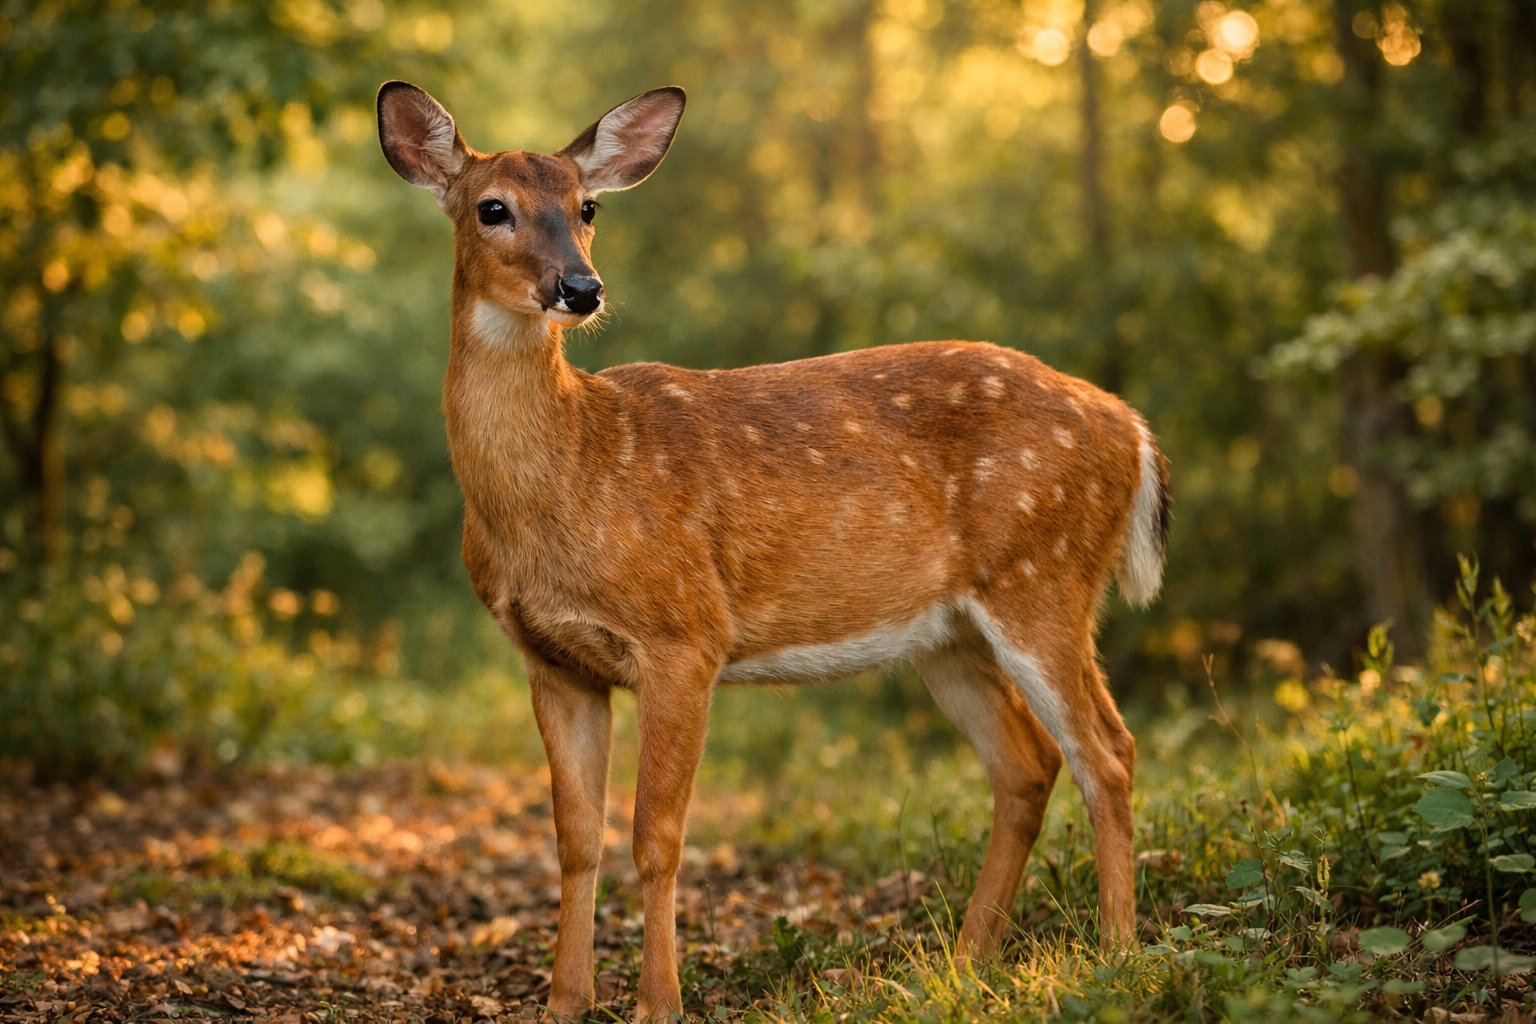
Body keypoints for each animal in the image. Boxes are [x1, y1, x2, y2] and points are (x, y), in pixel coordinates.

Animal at [377, 80, 1170, 1019]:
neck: (569, 476)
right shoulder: (553, 659)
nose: (580, 287)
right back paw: (964, 961)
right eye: (492, 208)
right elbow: (575, 838)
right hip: (949, 633)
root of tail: (1131, 428)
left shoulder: (685, 633)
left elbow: (656, 836)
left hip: (1044, 575)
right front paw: (565, 1001)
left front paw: (658, 1003)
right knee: (1027, 764)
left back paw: (1114, 956)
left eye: (587, 207)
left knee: (1107, 752)